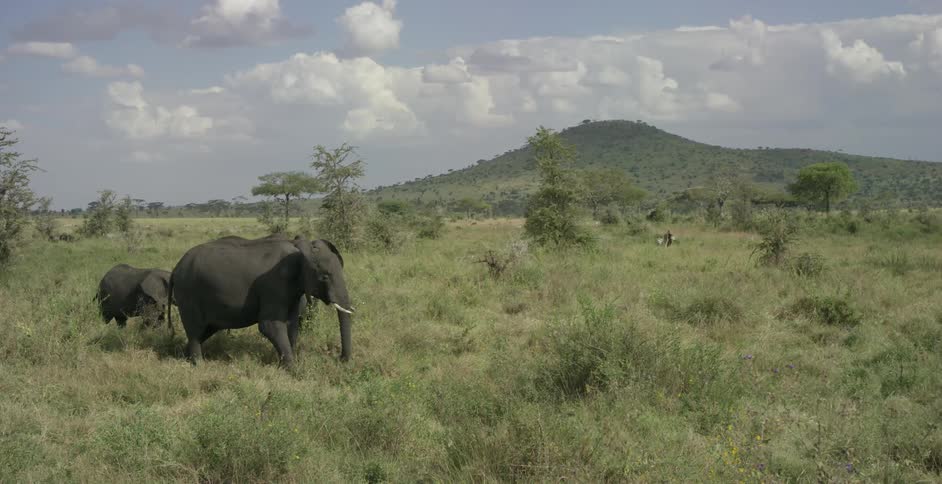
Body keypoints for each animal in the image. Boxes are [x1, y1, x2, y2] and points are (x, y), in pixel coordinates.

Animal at [169, 235, 353, 368]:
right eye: (325, 276)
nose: (341, 360)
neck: (299, 247)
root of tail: (175, 269)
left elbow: (292, 325)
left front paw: (289, 362)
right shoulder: (274, 284)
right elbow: (269, 325)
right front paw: (293, 369)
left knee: (205, 330)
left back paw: (183, 356)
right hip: (188, 293)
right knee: (195, 330)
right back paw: (197, 364)